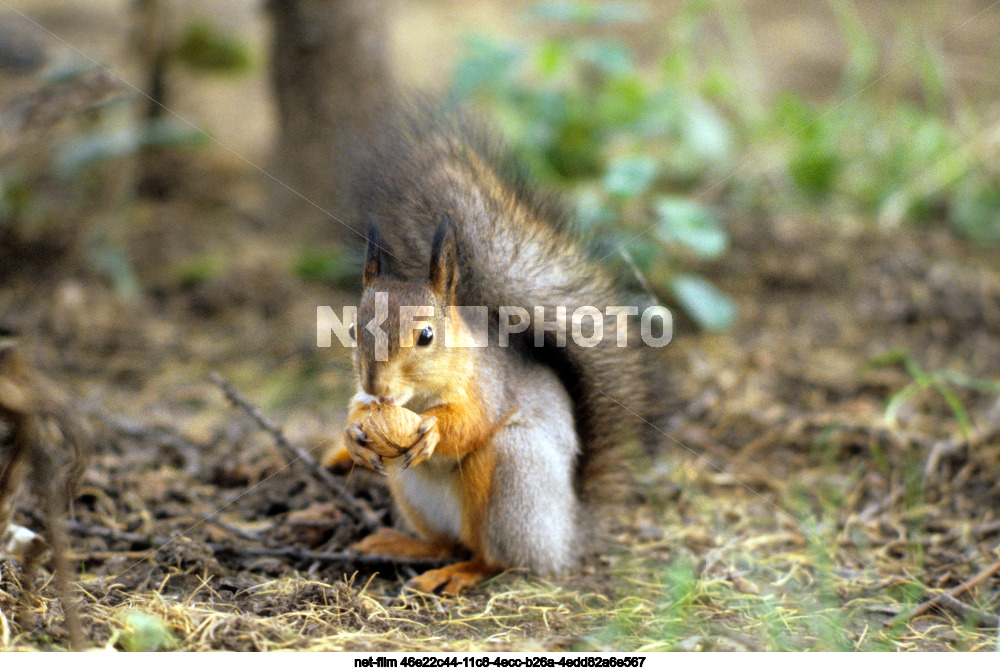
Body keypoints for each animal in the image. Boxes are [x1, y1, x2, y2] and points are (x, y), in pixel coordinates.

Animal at [338, 107, 656, 596]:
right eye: (353, 328)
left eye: (426, 336)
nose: (377, 386)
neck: (417, 398)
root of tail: (564, 535)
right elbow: (356, 411)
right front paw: (354, 434)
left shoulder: (488, 387)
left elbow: (471, 424)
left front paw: (432, 430)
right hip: (409, 491)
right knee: (447, 542)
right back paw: (406, 545)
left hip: (511, 475)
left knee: (493, 556)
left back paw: (462, 572)